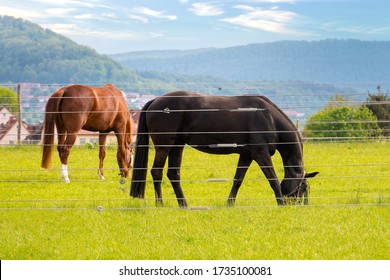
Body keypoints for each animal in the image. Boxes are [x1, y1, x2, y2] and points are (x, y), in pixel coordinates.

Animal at [129, 91, 318, 207]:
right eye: (303, 188)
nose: (295, 205)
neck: (268, 117)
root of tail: (155, 101)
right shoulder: (261, 154)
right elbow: (273, 180)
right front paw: (280, 203)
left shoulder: (246, 155)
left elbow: (238, 180)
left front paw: (230, 203)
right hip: (164, 146)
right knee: (156, 172)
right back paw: (160, 203)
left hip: (177, 146)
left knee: (173, 174)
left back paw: (184, 204)